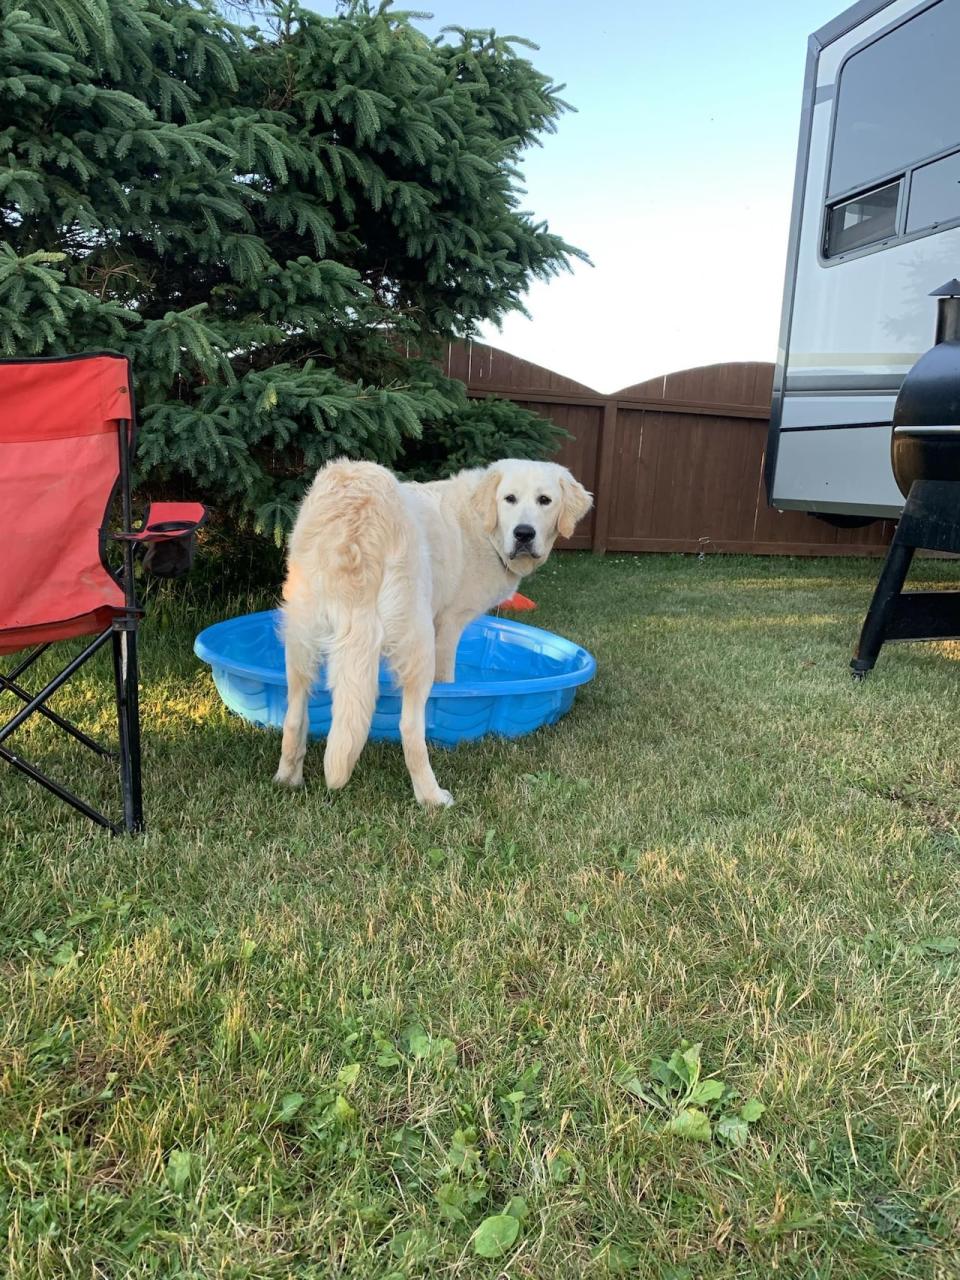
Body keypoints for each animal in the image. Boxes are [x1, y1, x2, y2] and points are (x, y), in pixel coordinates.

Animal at [273, 455, 593, 803]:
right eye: (509, 499)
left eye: (544, 500)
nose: (524, 533)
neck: (483, 526)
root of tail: (356, 517)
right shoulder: (449, 624)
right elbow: (448, 681)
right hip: (417, 637)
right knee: (410, 728)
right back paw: (432, 797)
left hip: (301, 634)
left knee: (294, 712)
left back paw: (287, 778)